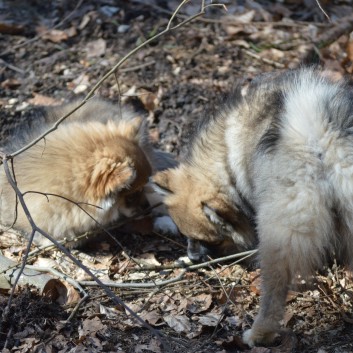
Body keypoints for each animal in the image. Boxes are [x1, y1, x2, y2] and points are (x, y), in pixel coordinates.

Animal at [153, 68, 352, 344]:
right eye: (187, 236)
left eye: (211, 241)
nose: (193, 257)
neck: (226, 162)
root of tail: (324, 137)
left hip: (278, 235)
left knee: (274, 293)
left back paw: (259, 333)